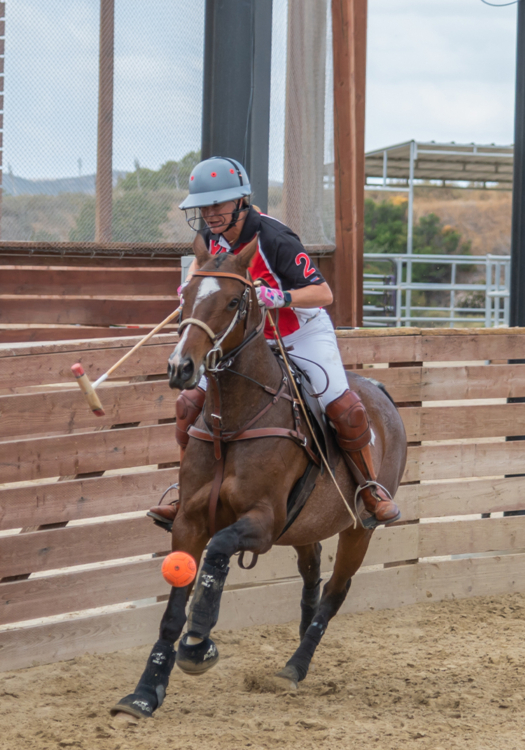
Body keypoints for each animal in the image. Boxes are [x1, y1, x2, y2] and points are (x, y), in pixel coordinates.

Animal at [110, 236, 406, 724]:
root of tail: (378, 389)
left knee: (335, 591)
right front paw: (144, 693)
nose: (180, 368)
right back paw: (300, 638)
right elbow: (172, 610)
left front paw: (199, 643)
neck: (232, 421)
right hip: (305, 524)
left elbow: (217, 553)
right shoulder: (188, 521)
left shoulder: (264, 522)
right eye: (185, 298)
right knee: (312, 572)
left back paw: (294, 667)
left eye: (234, 300)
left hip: (358, 527)